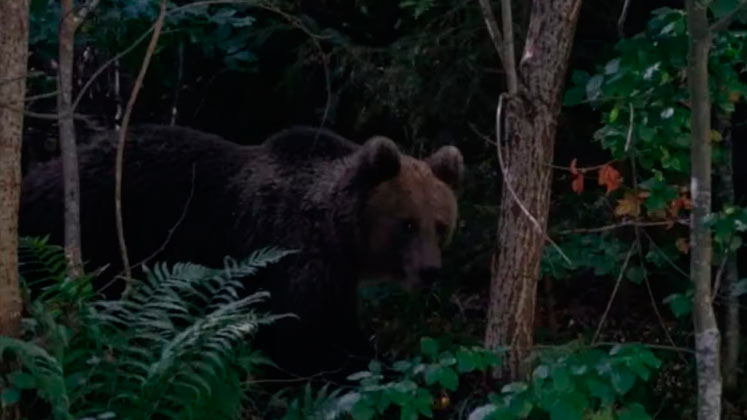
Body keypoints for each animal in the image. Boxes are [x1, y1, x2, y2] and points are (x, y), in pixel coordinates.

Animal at [19, 124, 464, 376]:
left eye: (441, 225)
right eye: (407, 224)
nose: (430, 271)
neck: (336, 233)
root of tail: (38, 174)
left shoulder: (336, 276)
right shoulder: (292, 258)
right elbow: (302, 336)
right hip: (93, 231)